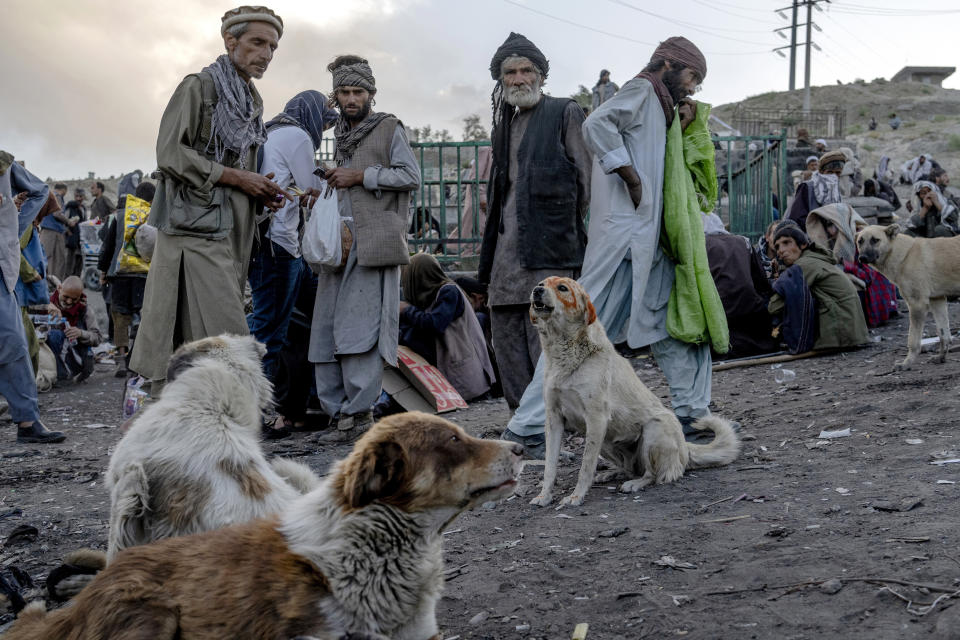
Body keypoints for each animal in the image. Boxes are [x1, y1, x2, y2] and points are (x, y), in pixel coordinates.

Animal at [524, 278, 744, 508]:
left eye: (562, 288)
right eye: (542, 283)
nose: (537, 290)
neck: (564, 351)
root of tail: (685, 447)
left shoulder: (596, 418)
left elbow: (585, 466)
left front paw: (576, 496)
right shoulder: (554, 419)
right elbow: (550, 466)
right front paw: (544, 495)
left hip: (653, 429)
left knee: (652, 474)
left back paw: (635, 484)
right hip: (605, 439)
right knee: (628, 468)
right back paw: (612, 473)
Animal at [860, 225, 960, 368]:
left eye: (875, 240)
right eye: (860, 241)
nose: (862, 258)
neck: (904, 256)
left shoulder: (917, 305)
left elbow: (913, 340)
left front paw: (906, 363)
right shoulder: (937, 300)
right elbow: (944, 335)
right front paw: (941, 357)